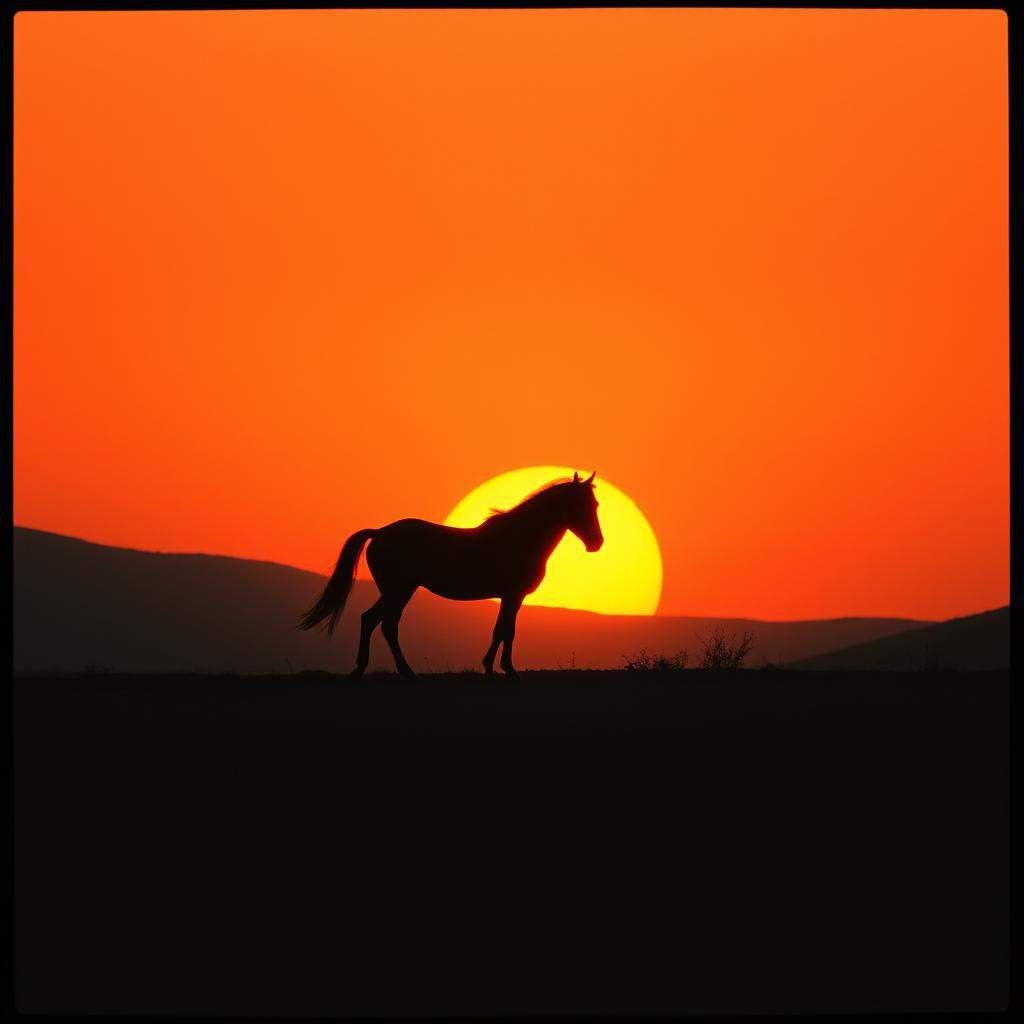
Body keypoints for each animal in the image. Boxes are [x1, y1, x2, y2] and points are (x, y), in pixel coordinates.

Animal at [298, 471, 604, 678]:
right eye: (582, 505)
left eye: (596, 505)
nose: (596, 543)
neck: (520, 538)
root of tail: (380, 533)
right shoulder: (512, 595)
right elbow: (504, 631)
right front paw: (502, 670)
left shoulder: (512, 597)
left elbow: (505, 630)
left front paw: (496, 668)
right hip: (398, 590)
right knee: (380, 623)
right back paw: (387, 670)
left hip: (398, 591)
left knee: (380, 623)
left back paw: (392, 671)